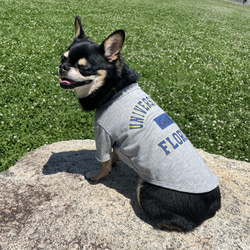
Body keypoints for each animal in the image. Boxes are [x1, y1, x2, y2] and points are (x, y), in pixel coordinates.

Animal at [59, 15, 221, 231]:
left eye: (84, 68)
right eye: (63, 58)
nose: (63, 67)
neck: (115, 89)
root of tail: (214, 206)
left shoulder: (102, 133)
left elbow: (104, 163)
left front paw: (96, 176)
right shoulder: (114, 139)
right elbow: (114, 154)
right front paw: (116, 161)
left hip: (145, 191)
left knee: (178, 223)